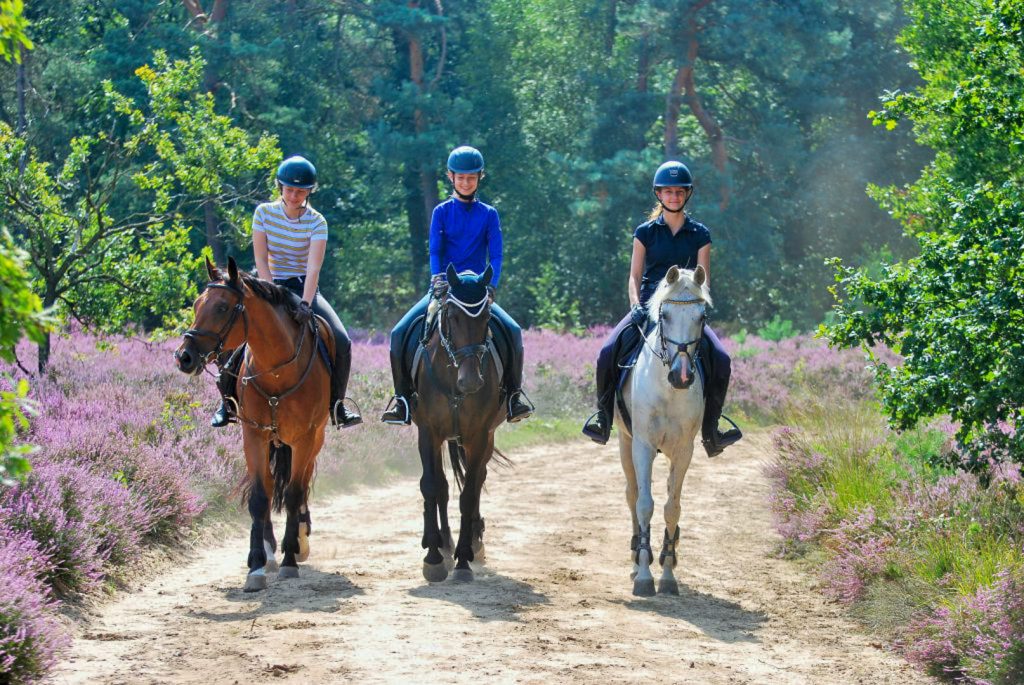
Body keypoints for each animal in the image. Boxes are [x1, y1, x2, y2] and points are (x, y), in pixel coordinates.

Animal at [176, 259, 331, 589]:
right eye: (196, 304)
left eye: (222, 307)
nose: (184, 357)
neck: (276, 371)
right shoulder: (254, 436)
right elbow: (261, 497)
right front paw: (257, 565)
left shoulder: (304, 438)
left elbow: (294, 494)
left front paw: (290, 558)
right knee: (271, 486)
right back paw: (270, 550)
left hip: (314, 439)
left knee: (299, 486)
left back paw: (299, 541)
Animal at [407, 264, 503, 581]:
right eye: (452, 316)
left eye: (486, 317)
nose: (470, 381)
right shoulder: (429, 432)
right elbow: (432, 487)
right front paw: (435, 557)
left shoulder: (479, 436)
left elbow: (469, 493)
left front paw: (463, 559)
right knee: (443, 486)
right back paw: (443, 543)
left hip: (484, 439)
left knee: (476, 481)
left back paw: (472, 542)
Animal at [614, 264, 712, 593]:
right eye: (665, 315)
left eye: (702, 317)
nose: (681, 377)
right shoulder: (642, 444)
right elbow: (644, 504)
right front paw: (644, 576)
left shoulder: (684, 451)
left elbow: (672, 507)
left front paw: (668, 574)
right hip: (624, 442)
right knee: (632, 494)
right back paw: (634, 563)